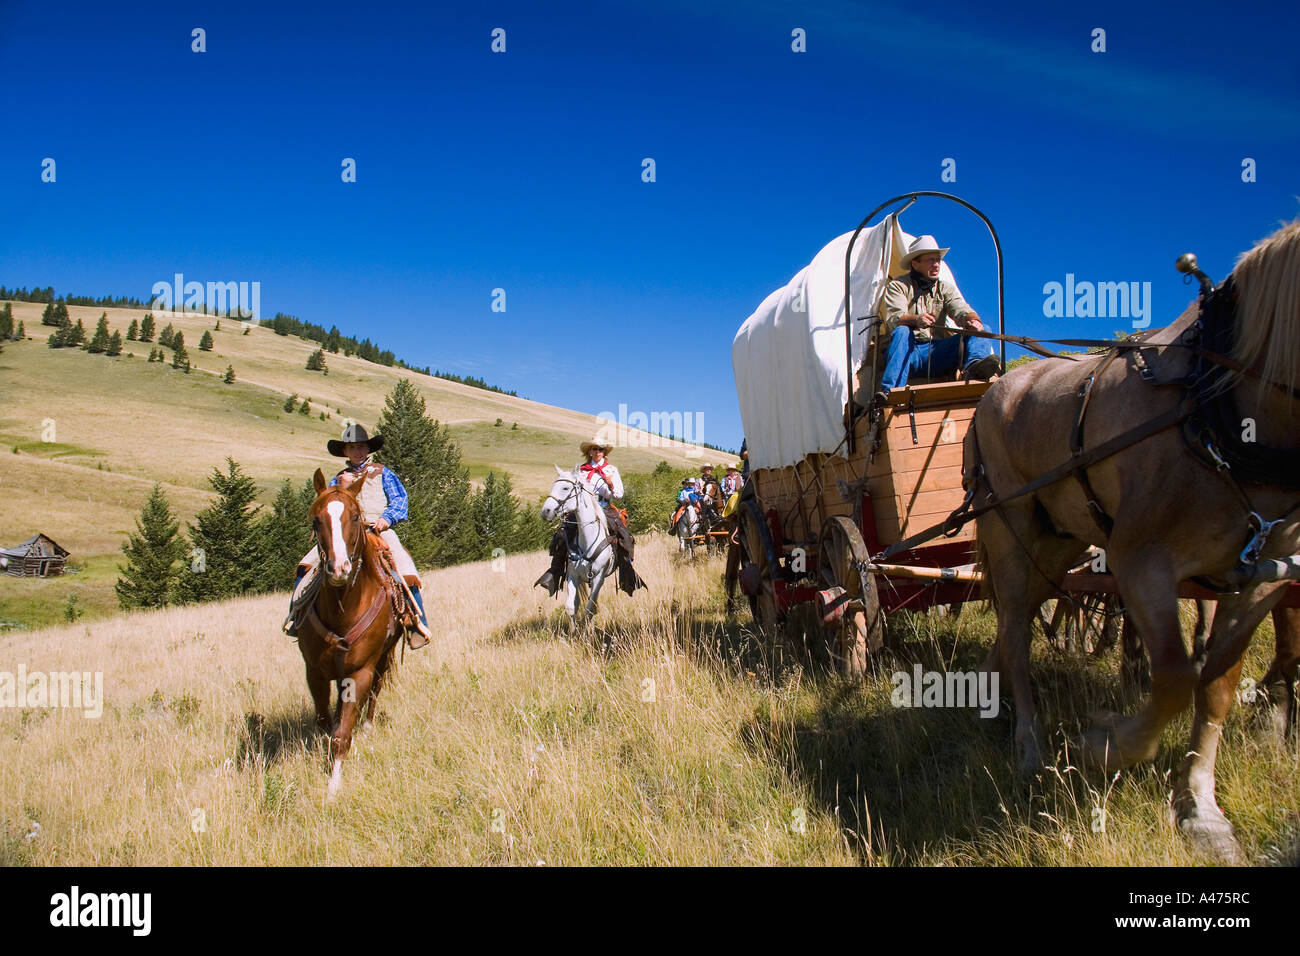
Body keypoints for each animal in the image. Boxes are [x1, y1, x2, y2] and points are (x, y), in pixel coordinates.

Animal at [297, 467, 402, 799]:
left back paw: (366, 727)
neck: (343, 608)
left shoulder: (359, 672)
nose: (339, 569)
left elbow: (342, 733)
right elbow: (323, 722)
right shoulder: (314, 671)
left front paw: (333, 785)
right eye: (316, 520)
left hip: (383, 659)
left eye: (355, 517)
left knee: (375, 692)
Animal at [540, 466, 618, 625]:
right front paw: (574, 630)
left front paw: (587, 631)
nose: (546, 511)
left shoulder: (598, 578)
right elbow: (571, 607)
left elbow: (589, 609)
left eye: (565, 487)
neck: (588, 541)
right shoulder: (573, 576)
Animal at [968, 217, 1300, 860]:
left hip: (1061, 541)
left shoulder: (1262, 577)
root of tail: (997, 388)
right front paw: (1103, 744)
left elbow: (1214, 686)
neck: (1218, 402)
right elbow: (1173, 676)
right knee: (1017, 632)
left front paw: (1201, 808)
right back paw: (1029, 744)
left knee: (1019, 617)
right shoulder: (1139, 560)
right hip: (1009, 528)